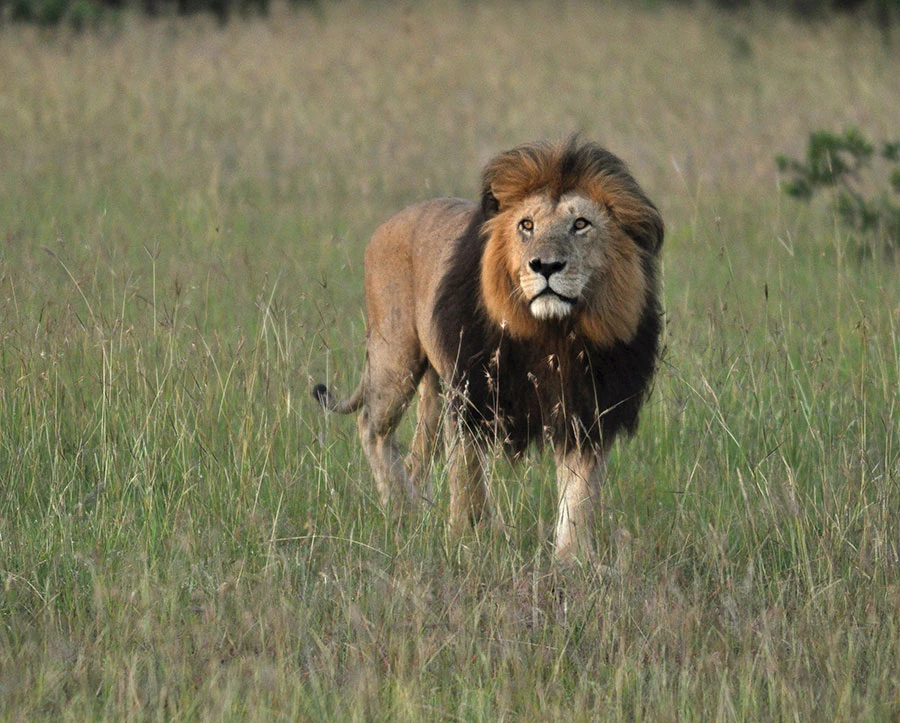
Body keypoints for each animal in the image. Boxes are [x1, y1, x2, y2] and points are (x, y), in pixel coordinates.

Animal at [313, 137, 663, 563]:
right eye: (526, 225)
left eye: (581, 224)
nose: (546, 266)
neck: (553, 333)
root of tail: (391, 221)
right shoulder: (472, 395)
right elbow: (468, 479)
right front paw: (469, 538)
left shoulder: (587, 408)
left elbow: (579, 493)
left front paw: (574, 560)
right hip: (394, 356)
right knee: (372, 428)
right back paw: (400, 509)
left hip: (434, 388)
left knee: (416, 455)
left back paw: (416, 510)